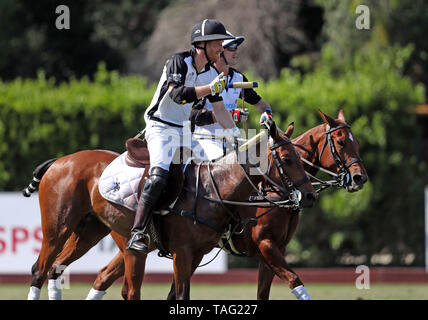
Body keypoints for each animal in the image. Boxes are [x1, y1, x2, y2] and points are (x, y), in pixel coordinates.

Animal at [25, 120, 314, 300]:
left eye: (302, 159)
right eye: (287, 159)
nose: (309, 196)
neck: (215, 189)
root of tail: (59, 161)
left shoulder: (199, 253)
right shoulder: (186, 252)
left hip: (91, 231)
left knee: (60, 269)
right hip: (59, 229)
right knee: (41, 270)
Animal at [84, 108, 368, 300]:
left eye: (356, 142)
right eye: (341, 141)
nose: (360, 178)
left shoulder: (273, 250)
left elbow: (266, 292)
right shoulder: (264, 245)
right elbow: (294, 279)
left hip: (142, 244)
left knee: (104, 276)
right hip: (132, 244)